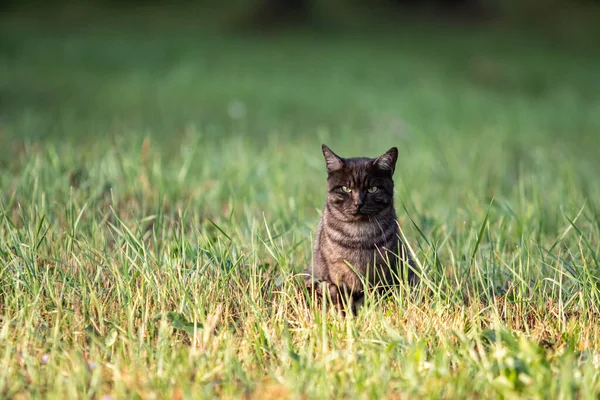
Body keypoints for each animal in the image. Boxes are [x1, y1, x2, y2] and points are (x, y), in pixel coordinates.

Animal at [304, 144, 418, 310]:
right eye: (345, 189)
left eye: (372, 189)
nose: (358, 203)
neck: (358, 235)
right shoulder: (339, 272)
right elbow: (343, 297)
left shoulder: (381, 271)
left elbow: (371, 296)